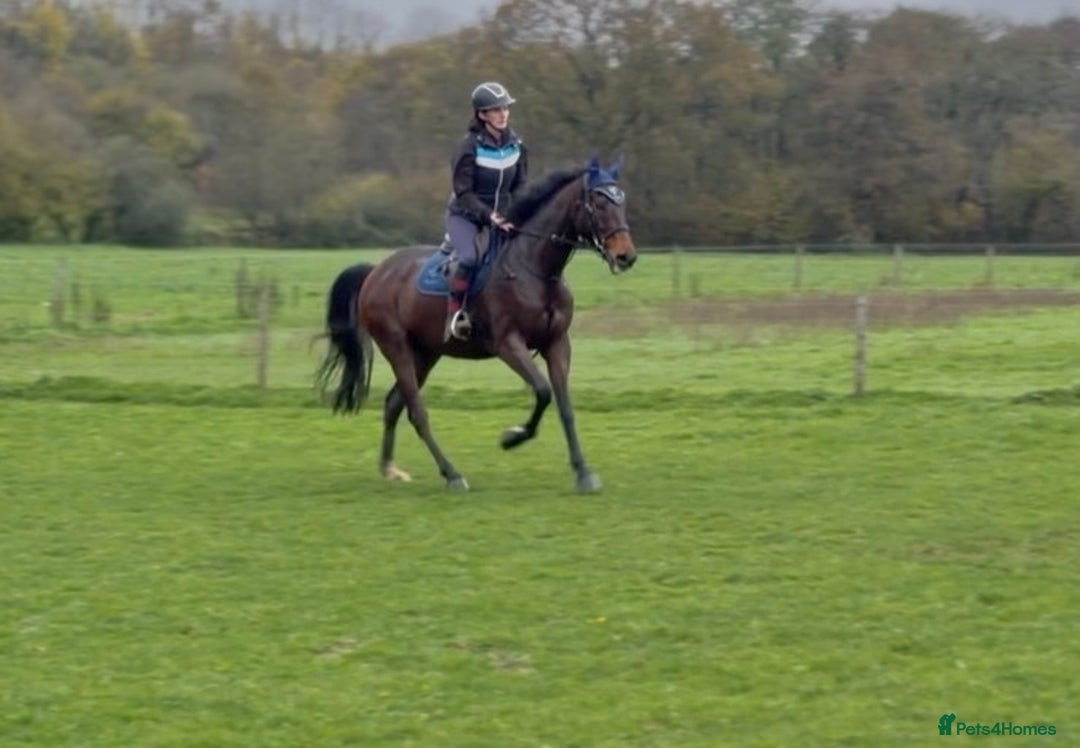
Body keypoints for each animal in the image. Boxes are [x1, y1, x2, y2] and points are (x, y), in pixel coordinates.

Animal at [316, 155, 637, 492]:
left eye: (622, 201)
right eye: (598, 203)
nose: (626, 256)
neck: (534, 267)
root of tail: (376, 271)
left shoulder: (557, 343)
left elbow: (565, 407)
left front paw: (583, 471)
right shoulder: (508, 343)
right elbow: (542, 391)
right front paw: (512, 437)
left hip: (425, 353)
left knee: (394, 404)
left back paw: (390, 468)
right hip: (397, 348)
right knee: (417, 412)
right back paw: (452, 474)